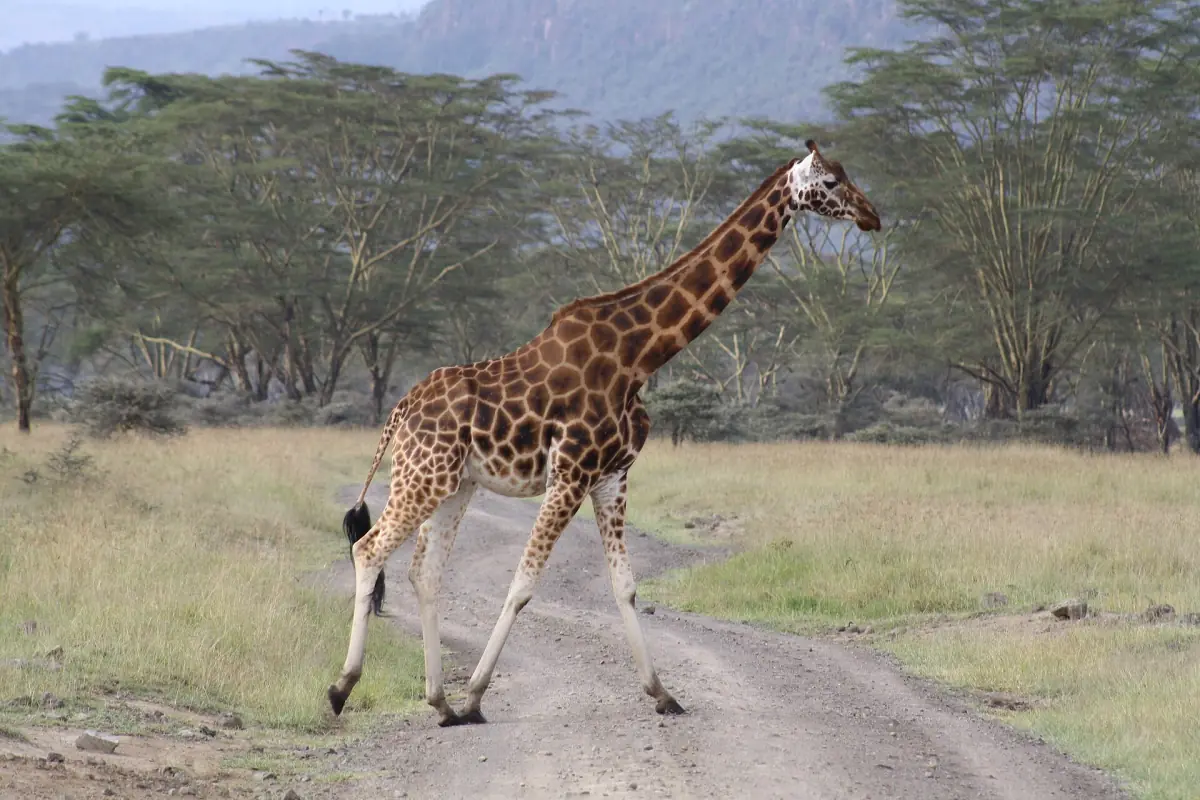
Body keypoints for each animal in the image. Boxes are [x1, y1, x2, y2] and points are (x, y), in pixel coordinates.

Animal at [328, 140, 881, 726]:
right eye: (829, 183)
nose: (873, 215)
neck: (639, 357)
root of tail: (401, 408)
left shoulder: (612, 476)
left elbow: (625, 587)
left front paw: (663, 694)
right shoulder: (570, 474)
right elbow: (523, 584)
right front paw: (477, 695)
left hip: (456, 484)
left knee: (424, 572)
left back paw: (440, 701)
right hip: (422, 476)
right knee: (368, 548)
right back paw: (344, 689)